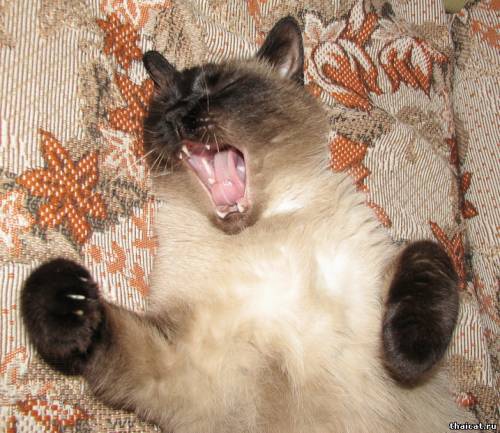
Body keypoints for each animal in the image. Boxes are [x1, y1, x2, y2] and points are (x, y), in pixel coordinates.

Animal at [21, 16, 474, 433]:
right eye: (165, 106)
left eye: (222, 88)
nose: (178, 116)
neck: (259, 235)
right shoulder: (186, 364)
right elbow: (99, 323)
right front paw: (68, 300)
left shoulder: (378, 276)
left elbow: (429, 254)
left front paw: (408, 353)